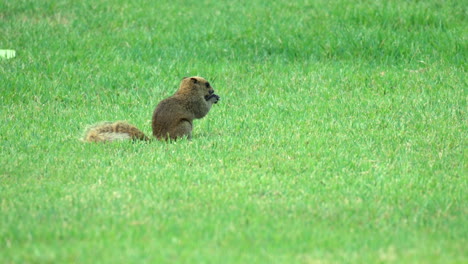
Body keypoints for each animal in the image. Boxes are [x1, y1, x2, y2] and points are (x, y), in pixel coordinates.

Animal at [83, 76, 220, 142]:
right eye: (207, 84)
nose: (213, 90)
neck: (187, 90)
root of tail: (158, 139)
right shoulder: (195, 102)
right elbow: (202, 111)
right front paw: (213, 98)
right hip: (185, 125)